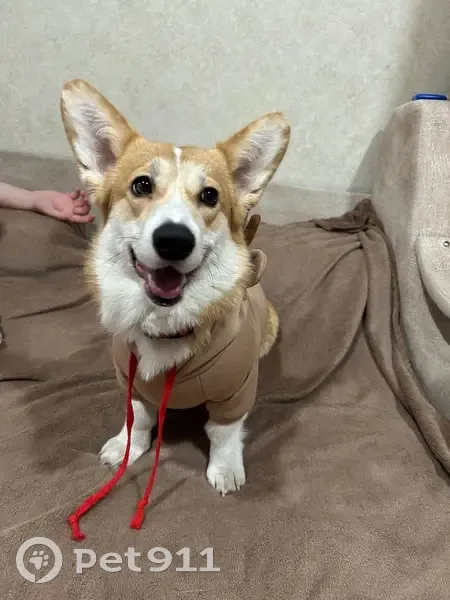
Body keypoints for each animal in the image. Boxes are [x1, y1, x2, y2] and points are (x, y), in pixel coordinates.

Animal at [61, 80, 290, 495]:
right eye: (141, 185)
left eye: (210, 195)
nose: (174, 240)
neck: (165, 326)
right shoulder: (131, 382)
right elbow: (137, 419)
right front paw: (126, 447)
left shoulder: (235, 391)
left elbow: (224, 433)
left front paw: (225, 469)